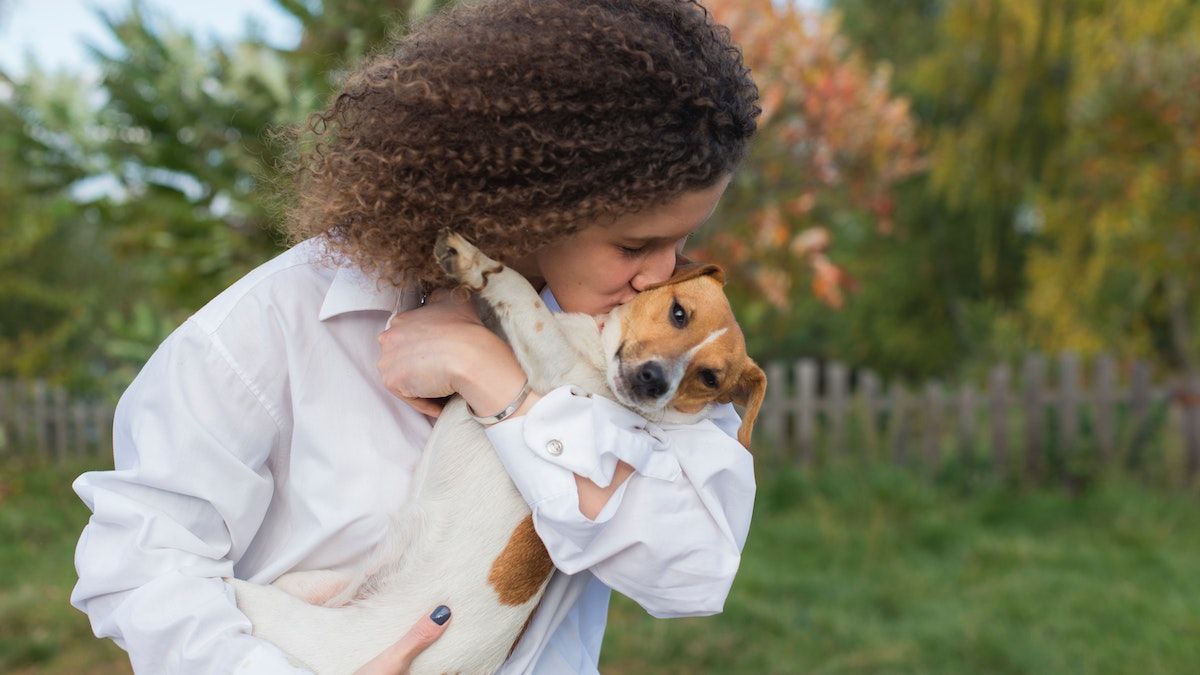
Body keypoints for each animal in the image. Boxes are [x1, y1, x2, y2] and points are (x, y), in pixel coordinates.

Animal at [225, 230, 768, 672]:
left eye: (710, 378)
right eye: (679, 312)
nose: (654, 381)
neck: (593, 355)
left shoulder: (554, 368)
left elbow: (522, 294)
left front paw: (477, 262)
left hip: (277, 612)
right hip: (303, 584)